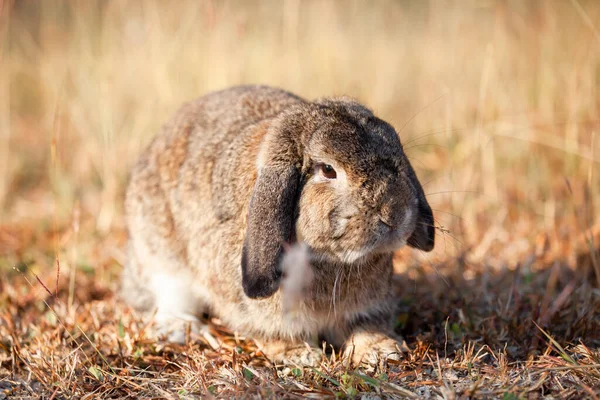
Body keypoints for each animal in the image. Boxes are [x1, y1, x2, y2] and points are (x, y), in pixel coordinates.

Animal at [122, 86, 434, 368]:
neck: (330, 260)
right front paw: (301, 355)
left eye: (397, 158)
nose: (394, 214)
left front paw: (381, 350)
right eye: (328, 170)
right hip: (162, 259)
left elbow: (367, 326)